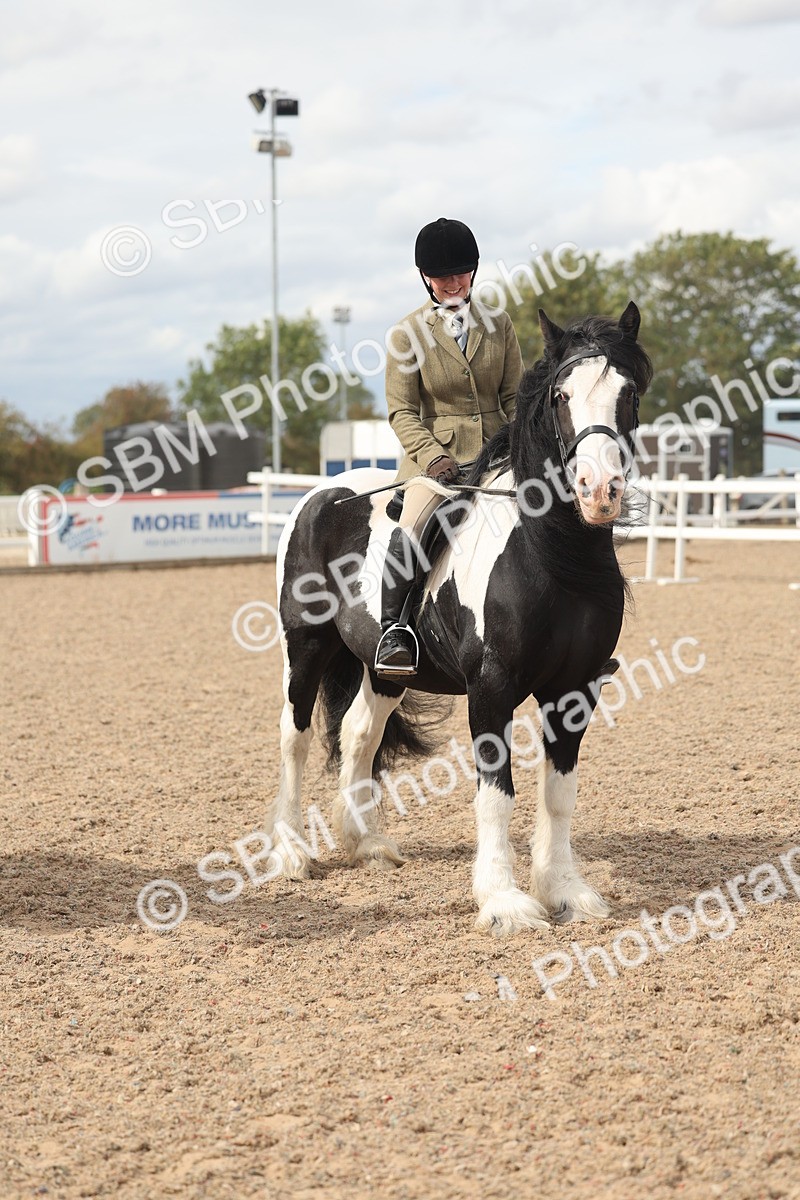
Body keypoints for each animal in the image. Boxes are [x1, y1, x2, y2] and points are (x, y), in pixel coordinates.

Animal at [267, 301, 653, 936]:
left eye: (630, 394)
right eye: (561, 396)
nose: (600, 492)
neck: (554, 555)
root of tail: (323, 494)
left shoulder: (576, 688)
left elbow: (559, 793)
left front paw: (565, 891)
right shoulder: (491, 688)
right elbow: (497, 792)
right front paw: (503, 901)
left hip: (384, 667)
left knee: (359, 732)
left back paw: (367, 843)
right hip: (305, 648)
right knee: (294, 736)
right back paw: (290, 852)